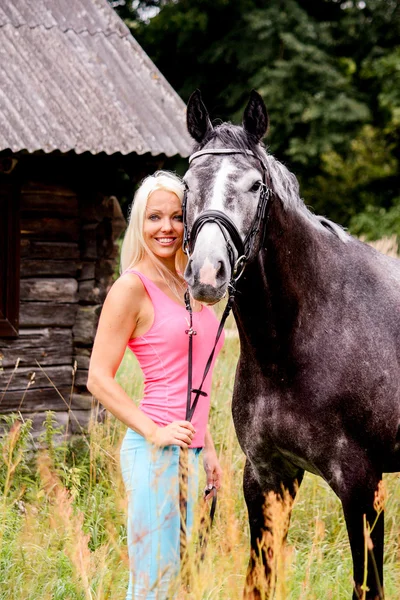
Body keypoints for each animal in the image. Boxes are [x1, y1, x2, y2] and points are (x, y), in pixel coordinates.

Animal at [182, 90, 400, 600]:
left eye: (255, 186)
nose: (207, 273)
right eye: (186, 183)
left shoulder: (363, 487)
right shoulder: (267, 477)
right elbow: (258, 583)